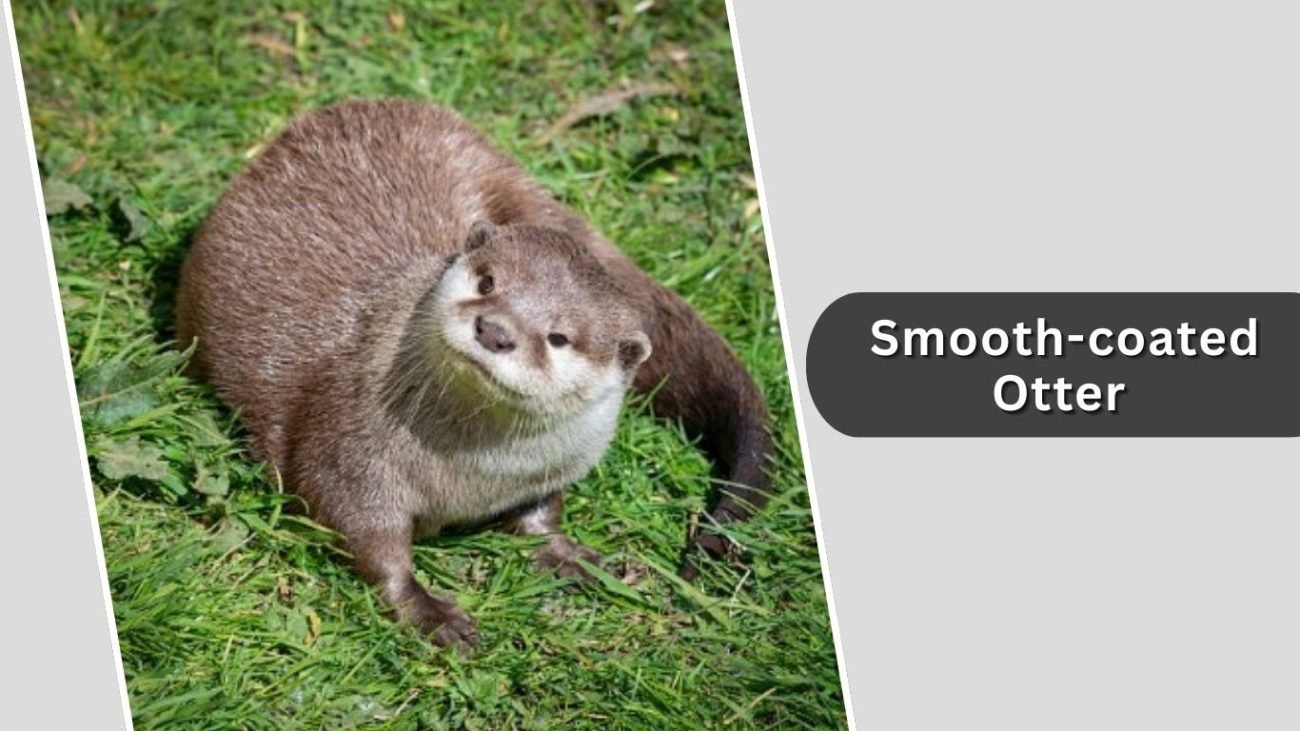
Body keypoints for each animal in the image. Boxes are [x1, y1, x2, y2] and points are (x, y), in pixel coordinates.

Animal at [176, 99, 773, 647]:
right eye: (487, 282)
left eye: (559, 337)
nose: (496, 329)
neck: (474, 472)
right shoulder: (348, 448)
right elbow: (358, 528)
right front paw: (428, 612)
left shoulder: (547, 470)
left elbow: (539, 514)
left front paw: (568, 555)